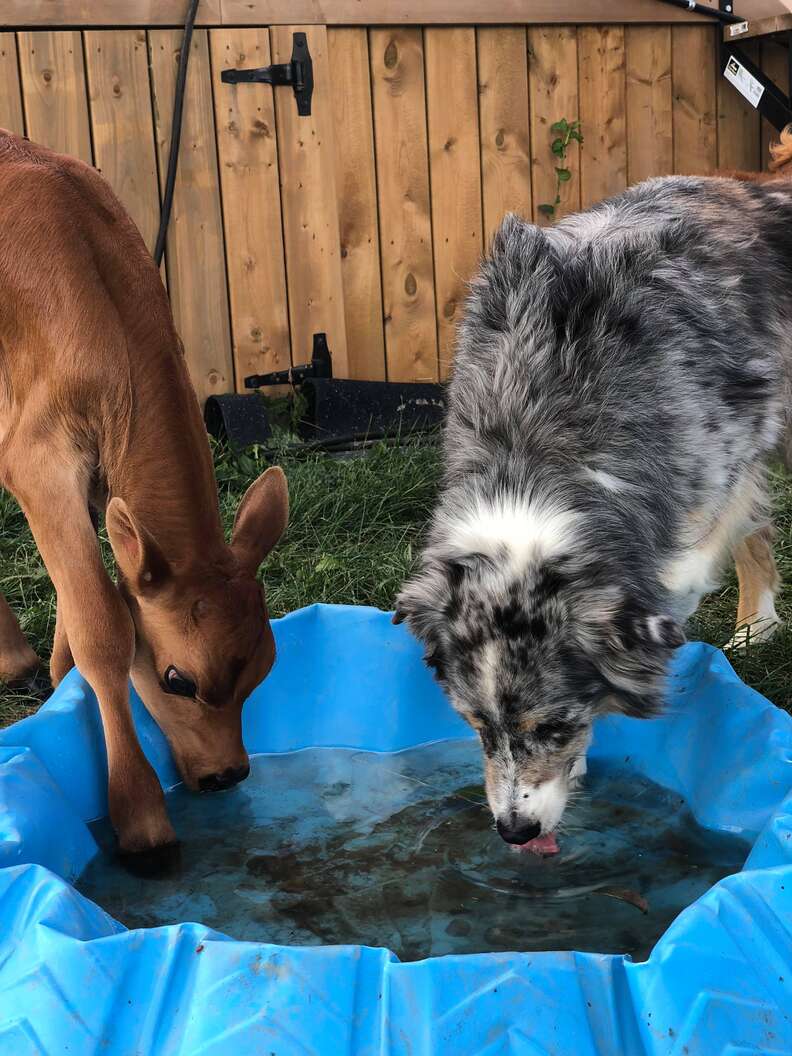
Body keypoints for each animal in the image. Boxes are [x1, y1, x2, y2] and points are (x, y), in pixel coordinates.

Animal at [0, 132, 291, 870]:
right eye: (177, 679)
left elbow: (85, 598)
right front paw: (140, 814)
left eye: (264, 669)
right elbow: (104, 625)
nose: (228, 775)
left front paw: (58, 678)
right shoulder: (37, 461)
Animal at [394, 154, 792, 849]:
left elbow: (679, 580)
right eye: (477, 726)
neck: (536, 439)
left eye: (553, 726)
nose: (514, 832)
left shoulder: (722, 461)